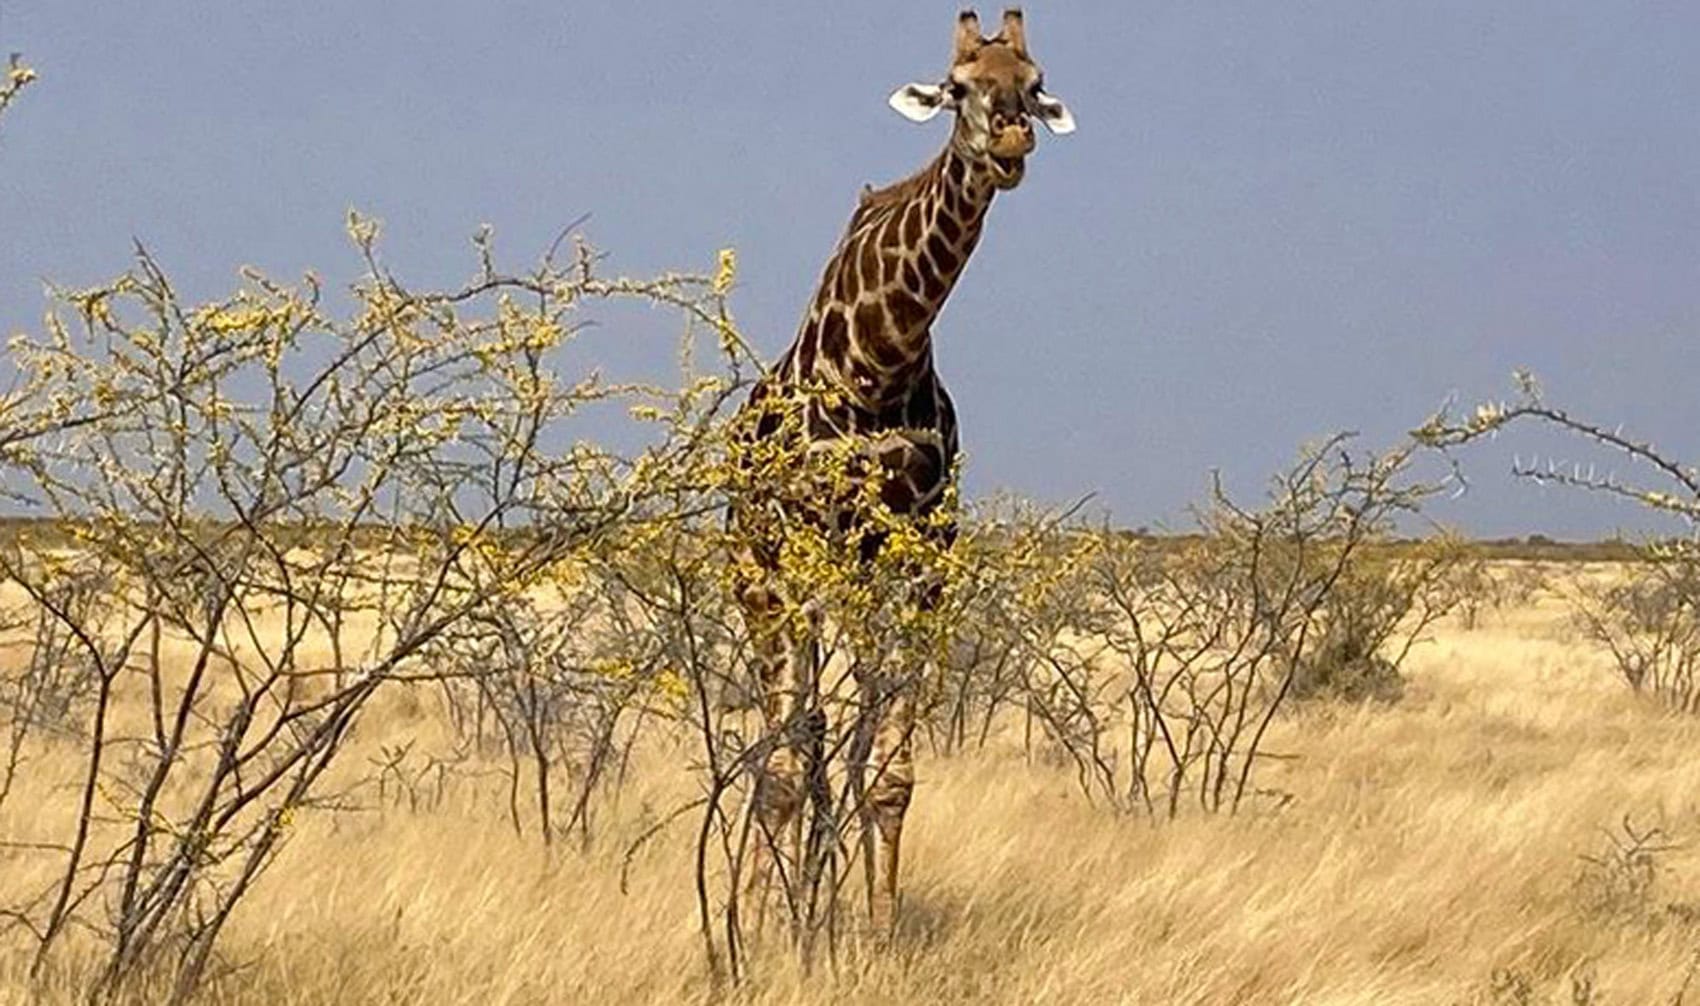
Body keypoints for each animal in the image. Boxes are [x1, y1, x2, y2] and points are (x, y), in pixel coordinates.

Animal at [731, 8, 1074, 937]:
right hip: (760, 585)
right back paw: (771, 908)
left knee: (826, 744)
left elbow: (888, 773)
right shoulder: (811, 549)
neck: (881, 358)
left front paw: (877, 931)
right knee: (785, 749)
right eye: (957, 87)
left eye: (1034, 81)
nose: (1013, 139)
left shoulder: (923, 558)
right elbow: (796, 758)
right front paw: (778, 930)